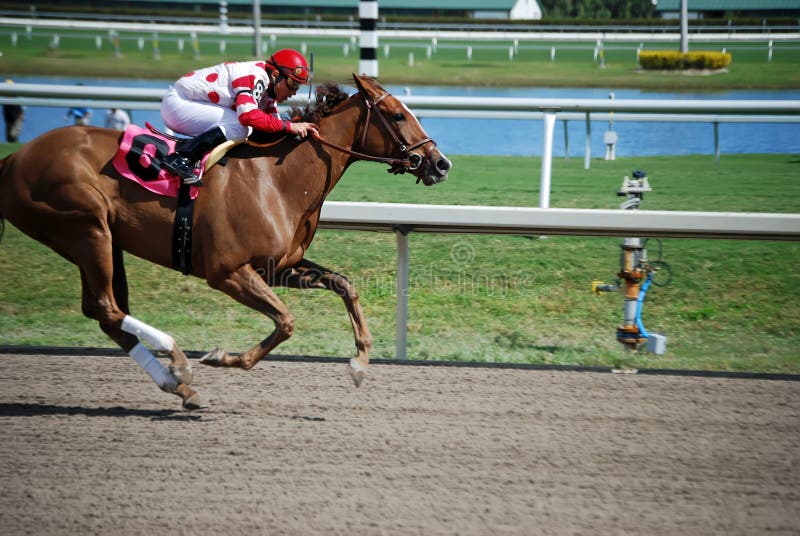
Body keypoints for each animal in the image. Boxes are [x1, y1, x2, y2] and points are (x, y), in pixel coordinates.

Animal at [0, 75, 450, 408]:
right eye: (397, 114)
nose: (440, 163)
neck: (277, 178)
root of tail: (14, 158)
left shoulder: (279, 266)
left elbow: (344, 284)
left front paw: (359, 362)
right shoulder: (227, 271)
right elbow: (285, 322)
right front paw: (222, 357)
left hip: (105, 240)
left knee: (106, 313)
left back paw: (178, 384)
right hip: (86, 228)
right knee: (106, 307)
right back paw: (177, 360)